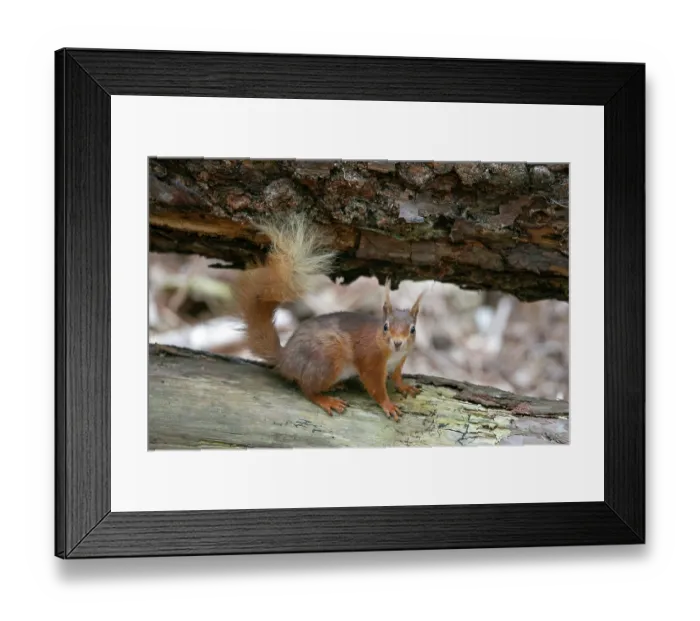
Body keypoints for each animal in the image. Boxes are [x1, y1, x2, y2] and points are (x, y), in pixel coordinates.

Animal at [234, 214, 424, 422]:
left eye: (413, 329)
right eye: (385, 327)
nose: (397, 343)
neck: (392, 353)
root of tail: (285, 359)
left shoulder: (401, 359)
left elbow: (397, 376)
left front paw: (405, 386)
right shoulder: (371, 361)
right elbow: (376, 387)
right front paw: (388, 405)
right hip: (329, 358)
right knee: (307, 388)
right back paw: (326, 400)